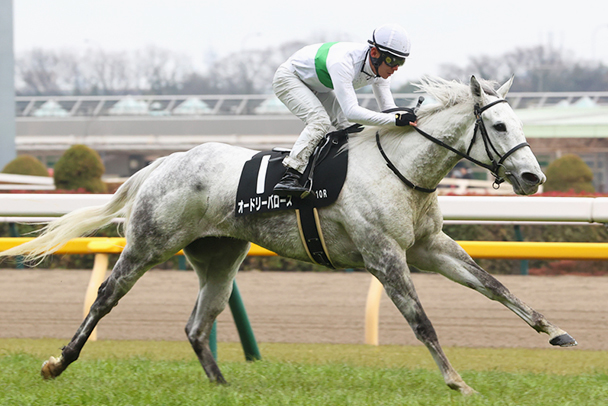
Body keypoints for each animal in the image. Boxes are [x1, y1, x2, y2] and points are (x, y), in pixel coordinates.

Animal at [0, 76, 577, 395]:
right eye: (498, 127)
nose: (533, 178)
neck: (399, 168)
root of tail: (165, 162)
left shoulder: (429, 246)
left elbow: (495, 286)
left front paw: (556, 332)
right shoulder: (384, 255)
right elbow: (421, 321)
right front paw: (457, 380)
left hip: (220, 257)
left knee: (197, 324)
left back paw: (223, 388)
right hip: (149, 242)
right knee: (105, 297)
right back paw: (58, 361)